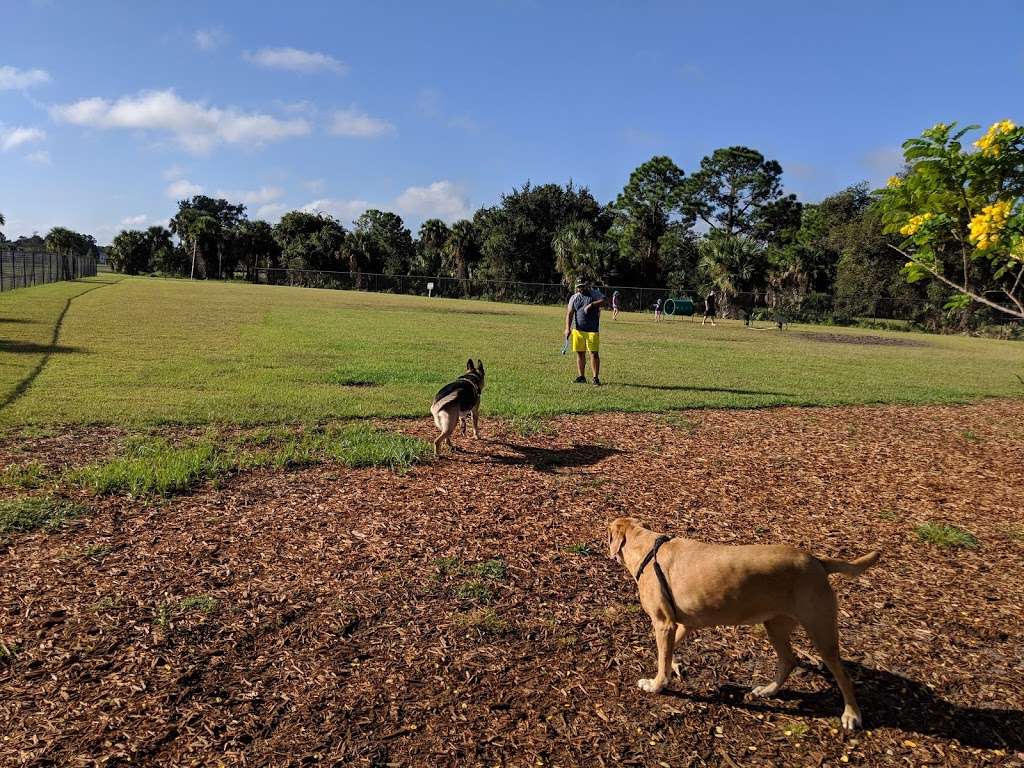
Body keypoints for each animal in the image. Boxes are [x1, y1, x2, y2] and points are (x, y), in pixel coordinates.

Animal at [606, 520, 880, 729]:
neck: (646, 547)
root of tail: (818, 561)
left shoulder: (663, 623)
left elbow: (662, 662)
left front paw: (656, 684)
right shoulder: (683, 623)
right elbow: (668, 653)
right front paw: (673, 664)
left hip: (820, 630)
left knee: (843, 675)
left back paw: (851, 714)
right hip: (775, 625)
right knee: (788, 660)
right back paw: (768, 691)